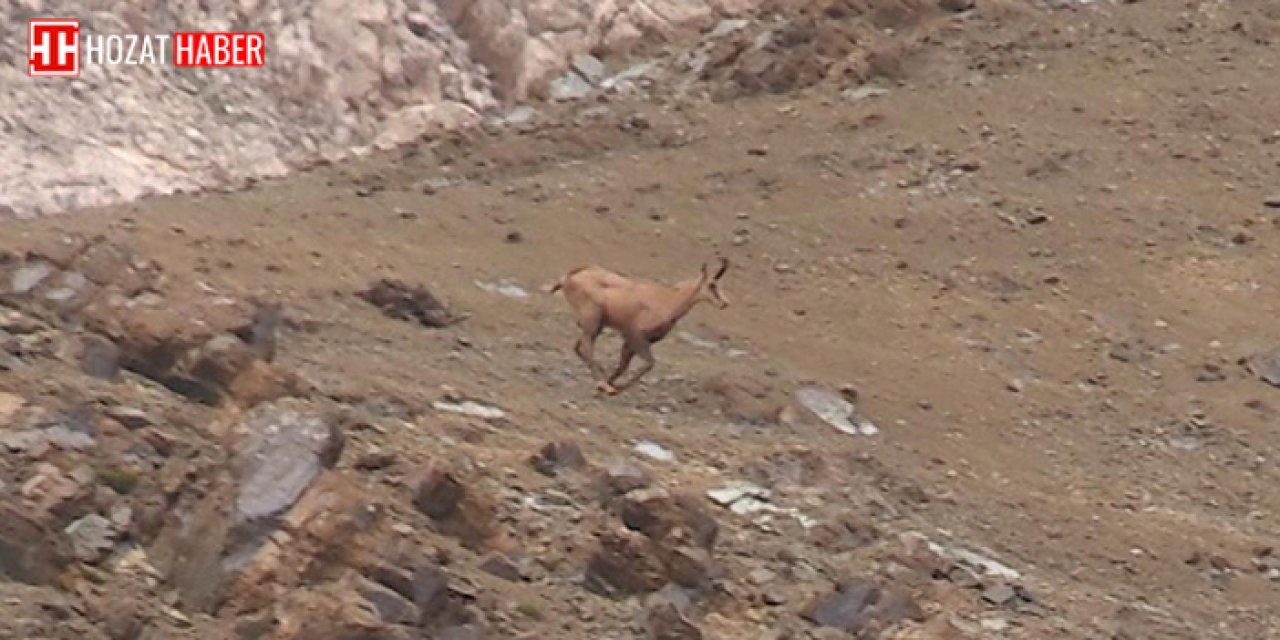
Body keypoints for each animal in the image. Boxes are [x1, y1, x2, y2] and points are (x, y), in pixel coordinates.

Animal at [547, 257, 732, 391]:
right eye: (712, 285)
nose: (725, 303)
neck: (667, 300)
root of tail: (570, 276)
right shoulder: (635, 336)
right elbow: (648, 364)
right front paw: (615, 387)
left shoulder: (631, 342)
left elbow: (624, 366)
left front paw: (613, 383)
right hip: (592, 320)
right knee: (586, 348)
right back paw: (601, 383)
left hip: (597, 325)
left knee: (579, 347)